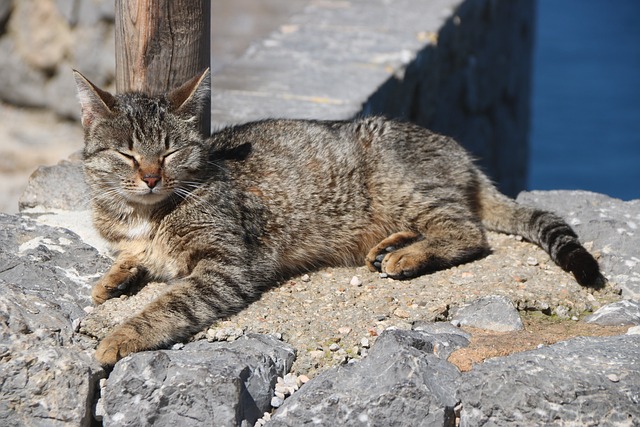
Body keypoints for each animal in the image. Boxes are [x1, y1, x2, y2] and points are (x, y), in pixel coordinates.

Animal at [74, 68, 604, 366]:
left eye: (171, 151)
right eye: (126, 154)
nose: (149, 177)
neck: (144, 211)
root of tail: (462, 156)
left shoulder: (226, 265)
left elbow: (170, 304)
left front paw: (123, 335)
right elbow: (134, 256)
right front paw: (114, 277)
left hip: (401, 187)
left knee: (467, 230)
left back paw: (407, 257)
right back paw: (393, 247)